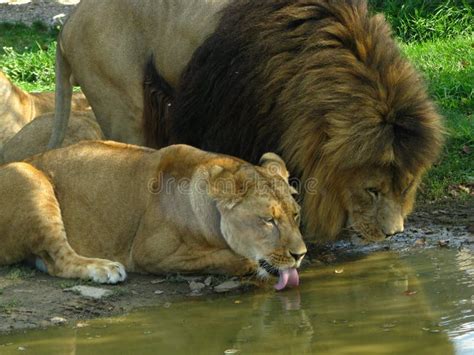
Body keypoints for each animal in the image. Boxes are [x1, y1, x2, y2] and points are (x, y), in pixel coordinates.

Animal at [0, 142, 306, 290]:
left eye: (296, 215)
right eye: (268, 220)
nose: (300, 254)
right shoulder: (150, 253)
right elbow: (234, 258)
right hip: (27, 175)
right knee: (60, 260)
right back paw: (105, 269)